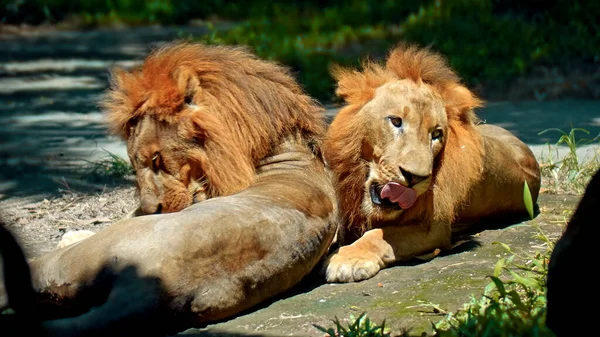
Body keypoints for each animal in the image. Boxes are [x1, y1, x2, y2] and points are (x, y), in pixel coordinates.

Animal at [324, 43, 544, 282]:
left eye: (436, 134)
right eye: (396, 121)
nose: (416, 177)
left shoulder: (433, 228)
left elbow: (381, 235)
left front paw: (348, 259)